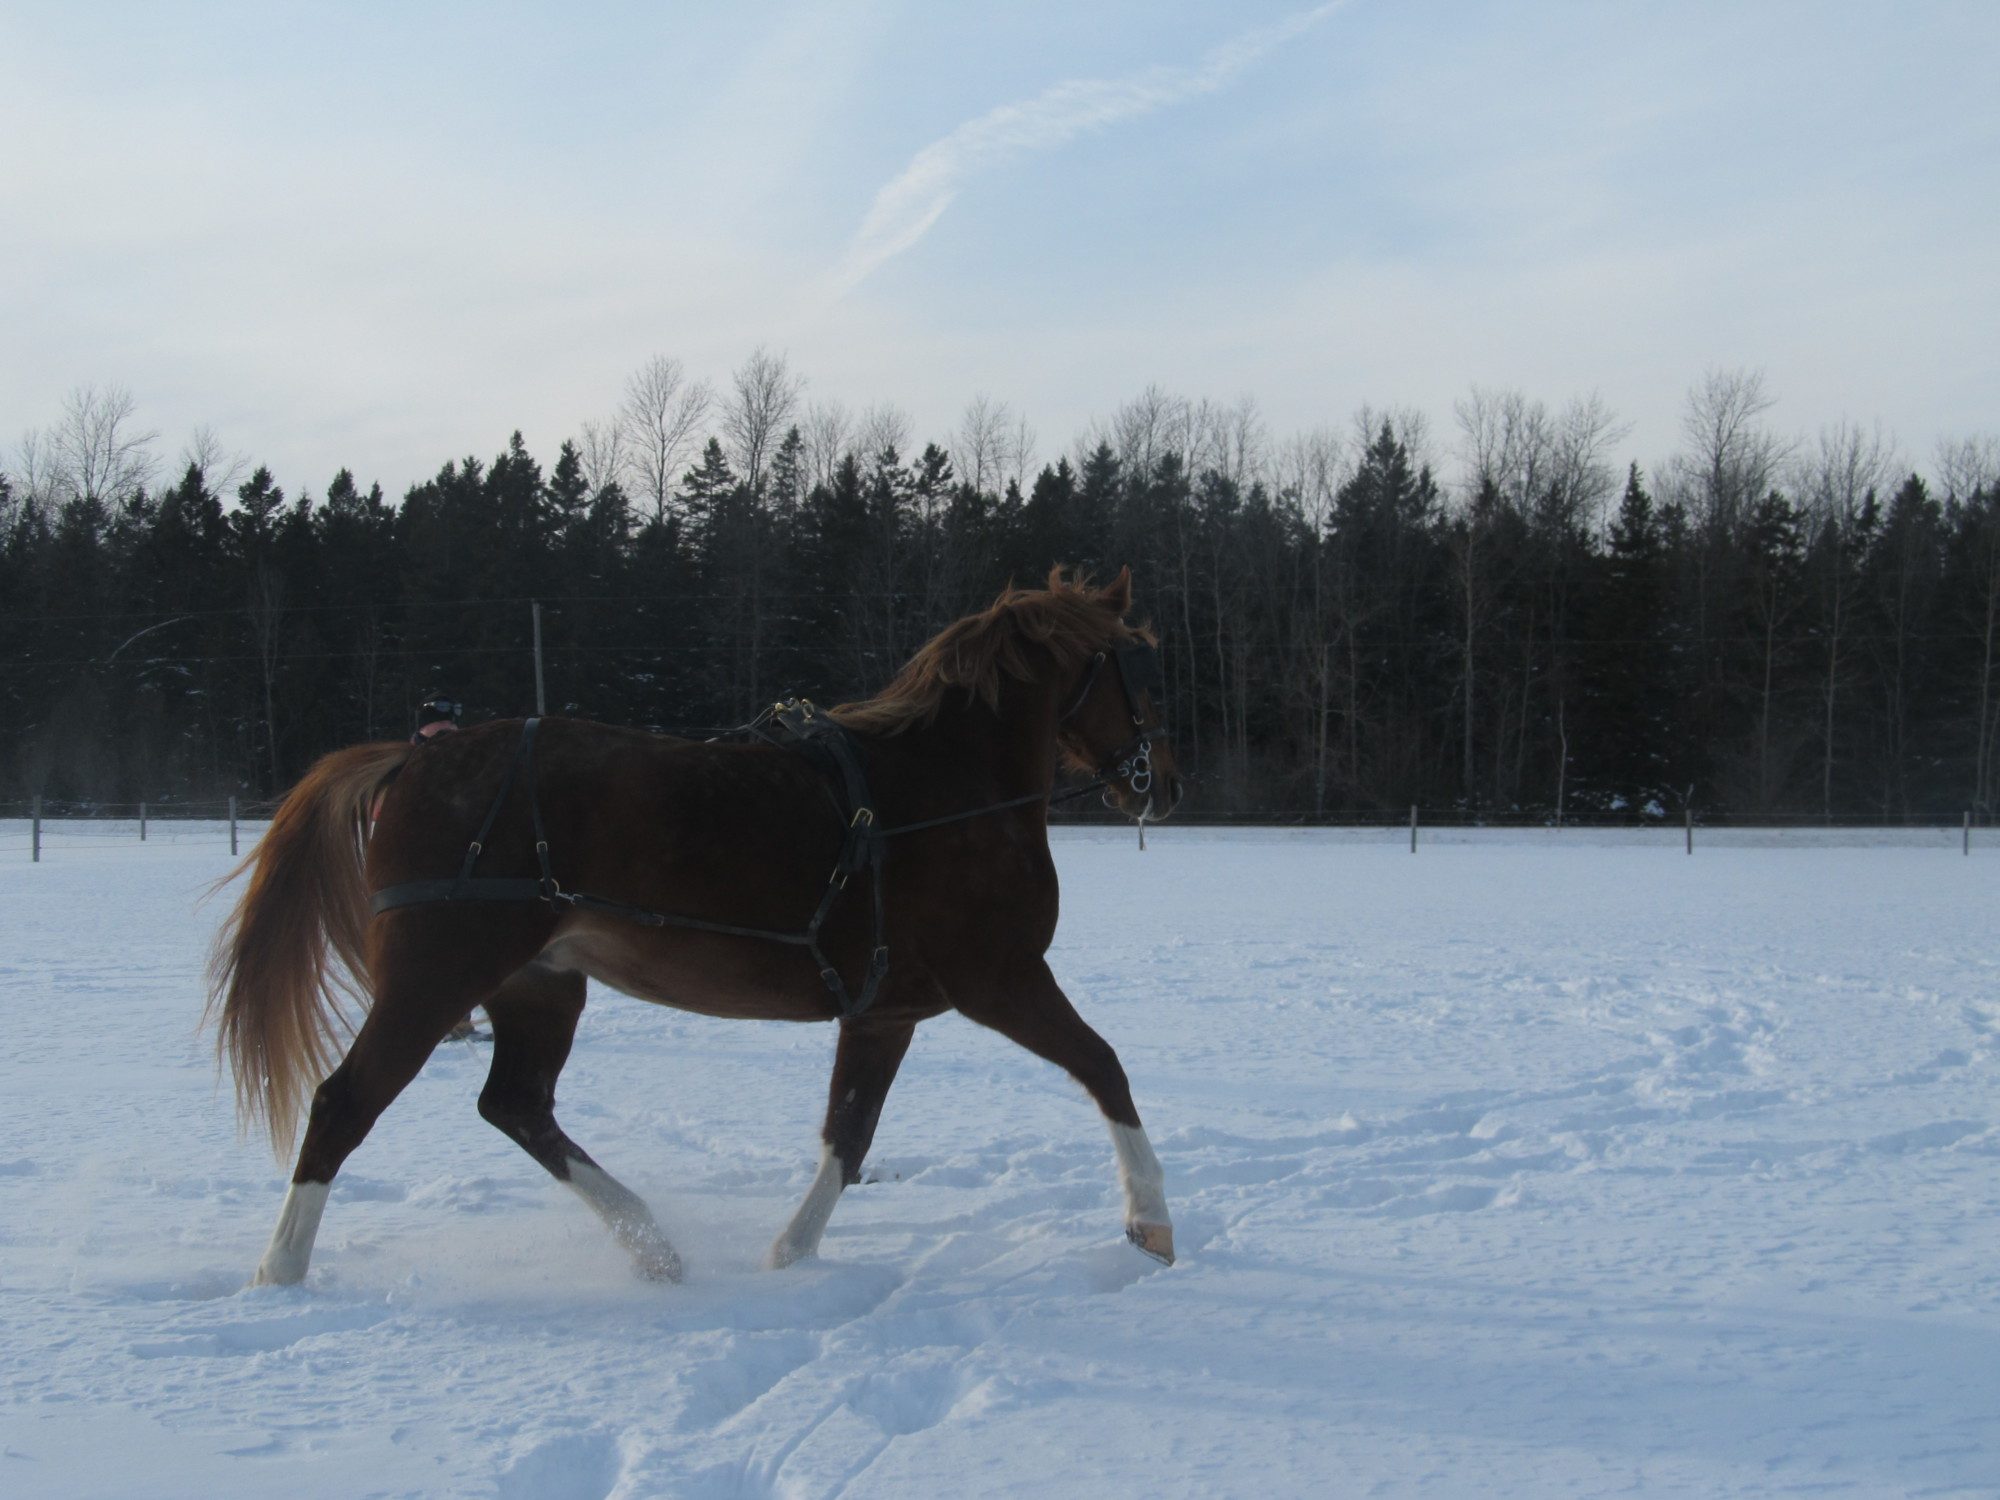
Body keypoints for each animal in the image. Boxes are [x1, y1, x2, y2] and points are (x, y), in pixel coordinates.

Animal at [208, 566, 1183, 1287]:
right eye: (1136, 665)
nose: (1162, 783)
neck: (946, 791)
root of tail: (412, 759)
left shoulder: (885, 1011)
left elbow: (849, 1134)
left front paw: (790, 1253)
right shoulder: (1001, 977)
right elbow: (1105, 1067)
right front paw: (1152, 1223)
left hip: (541, 986)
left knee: (515, 1105)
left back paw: (653, 1247)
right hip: (436, 977)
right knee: (346, 1104)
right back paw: (279, 1271)